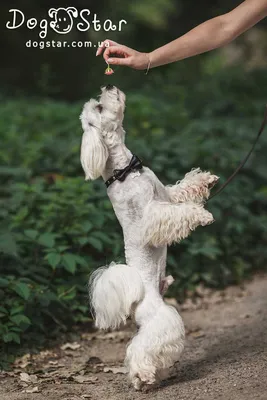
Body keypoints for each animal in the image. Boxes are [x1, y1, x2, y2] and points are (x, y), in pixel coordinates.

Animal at [80, 85, 220, 390]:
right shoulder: (151, 216)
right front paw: (202, 215)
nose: (109, 86)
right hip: (161, 320)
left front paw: (206, 180)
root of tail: (136, 306)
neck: (125, 170)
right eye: (99, 108)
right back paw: (142, 376)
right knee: (143, 348)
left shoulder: (165, 193)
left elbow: (183, 190)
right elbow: (179, 213)